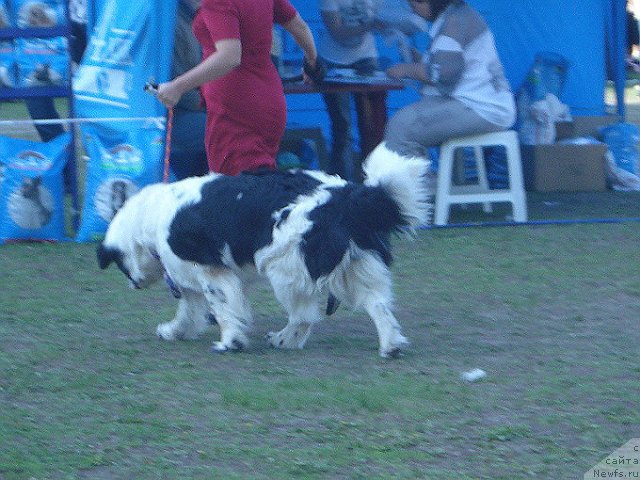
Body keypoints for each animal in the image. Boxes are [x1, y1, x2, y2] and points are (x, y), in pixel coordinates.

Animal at [96, 144, 430, 358]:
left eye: (121, 266)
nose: (133, 283)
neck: (151, 218)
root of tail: (347, 196)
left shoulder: (210, 272)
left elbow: (222, 307)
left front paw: (230, 342)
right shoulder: (191, 279)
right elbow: (189, 312)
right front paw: (173, 331)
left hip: (285, 269)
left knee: (304, 316)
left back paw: (284, 340)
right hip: (357, 266)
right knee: (378, 304)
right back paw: (390, 345)